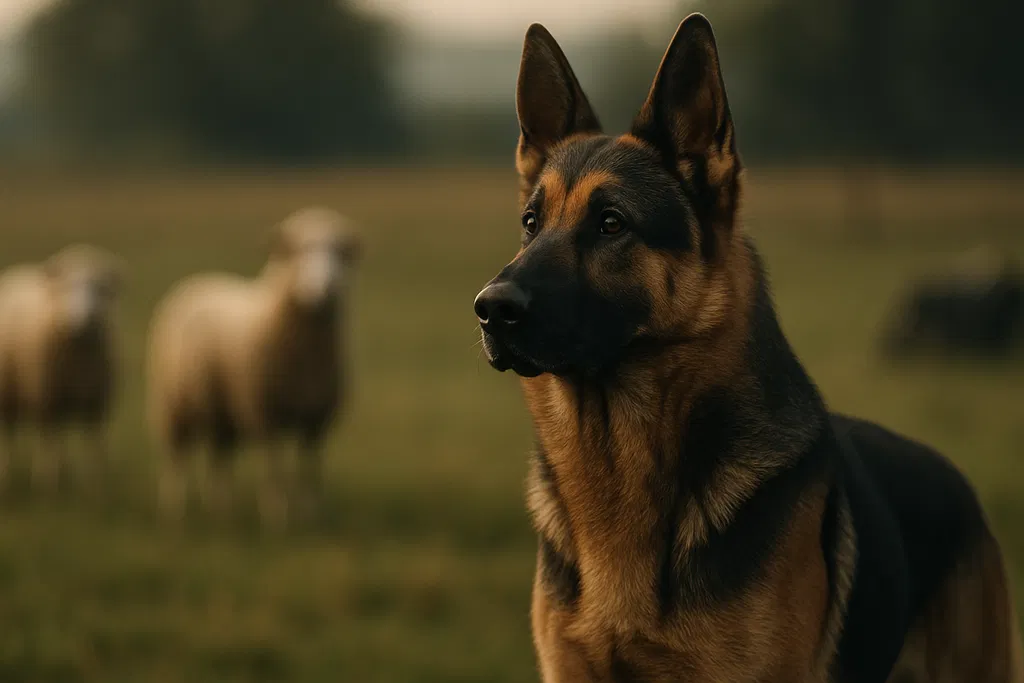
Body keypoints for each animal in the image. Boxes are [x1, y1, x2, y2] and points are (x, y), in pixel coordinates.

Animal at [0, 244, 122, 493]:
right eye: (68, 286)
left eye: (101, 289)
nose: (86, 317)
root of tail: (18, 270)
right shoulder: (47, 400)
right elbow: (50, 443)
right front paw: (48, 484)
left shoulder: (95, 406)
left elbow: (94, 446)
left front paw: (96, 485)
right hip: (10, 394)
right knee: (10, 435)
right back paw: (8, 476)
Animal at [147, 206, 360, 525]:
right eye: (296, 251)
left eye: (341, 253)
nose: (327, 288)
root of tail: (197, 280)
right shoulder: (265, 413)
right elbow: (274, 468)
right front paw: (277, 516)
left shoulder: (316, 420)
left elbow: (309, 471)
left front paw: (311, 515)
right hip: (173, 405)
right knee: (177, 460)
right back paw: (175, 510)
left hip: (221, 411)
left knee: (219, 459)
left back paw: (221, 508)